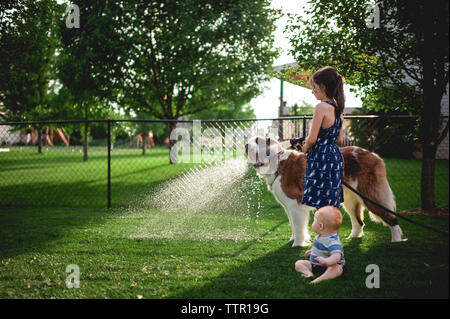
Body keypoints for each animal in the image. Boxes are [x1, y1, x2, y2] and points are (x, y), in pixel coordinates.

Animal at [244, 136, 406, 248]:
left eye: (257, 140)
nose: (245, 145)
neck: (277, 162)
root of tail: (373, 154)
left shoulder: (295, 205)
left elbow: (297, 225)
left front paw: (297, 244)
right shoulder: (287, 207)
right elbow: (292, 224)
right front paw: (295, 239)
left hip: (369, 195)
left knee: (390, 217)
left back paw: (396, 240)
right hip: (350, 199)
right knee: (358, 221)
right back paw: (353, 236)